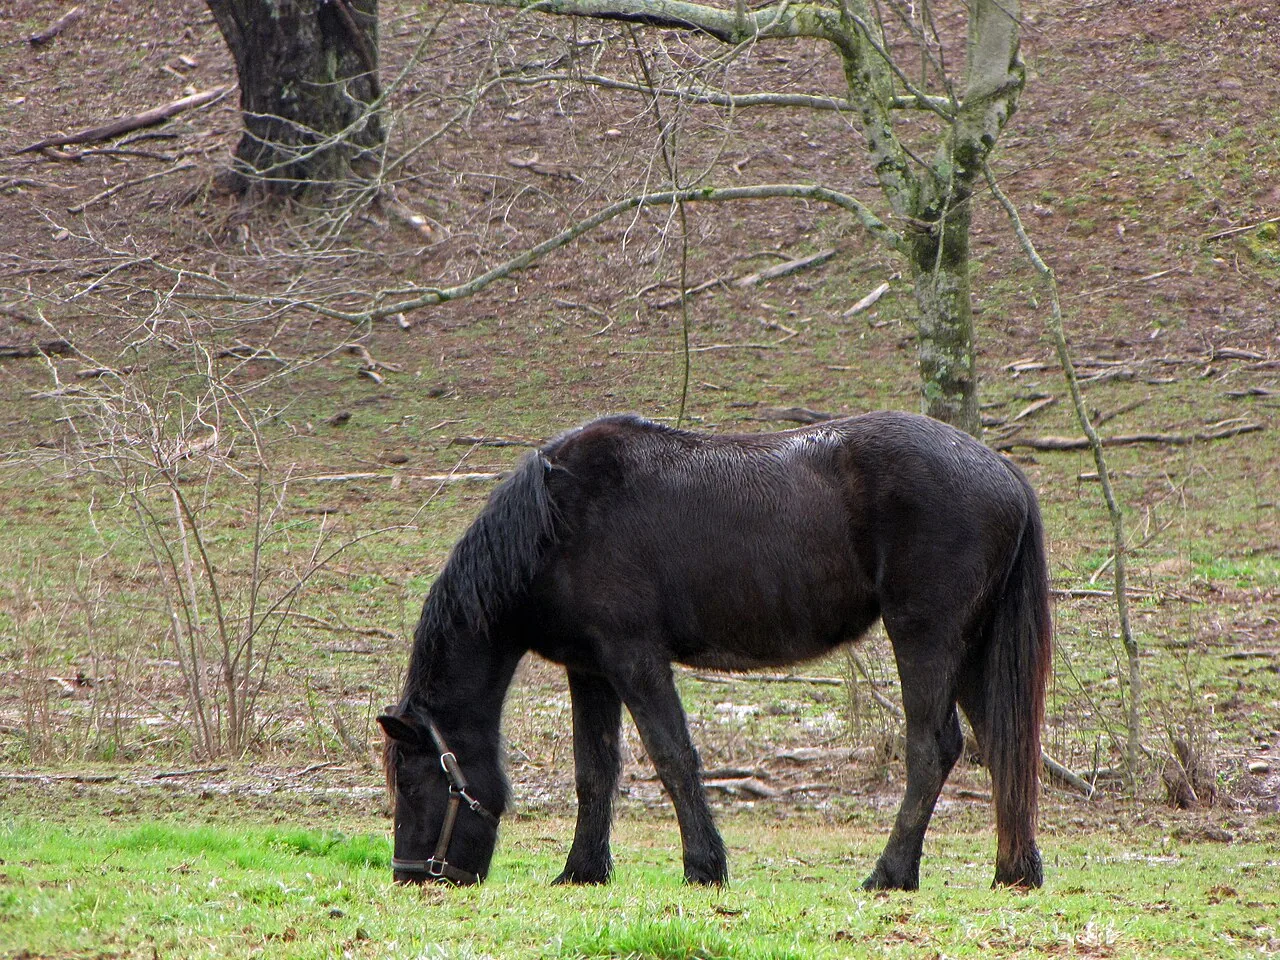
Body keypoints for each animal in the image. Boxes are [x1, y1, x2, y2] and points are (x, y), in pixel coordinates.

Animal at [377, 411, 1051, 890]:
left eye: (410, 780)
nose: (412, 876)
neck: (555, 523)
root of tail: (1005, 474)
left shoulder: (635, 661)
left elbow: (672, 756)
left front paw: (704, 866)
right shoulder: (590, 671)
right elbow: (594, 770)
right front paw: (582, 871)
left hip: (925, 639)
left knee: (932, 750)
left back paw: (891, 874)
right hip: (972, 651)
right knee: (1003, 747)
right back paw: (1013, 872)